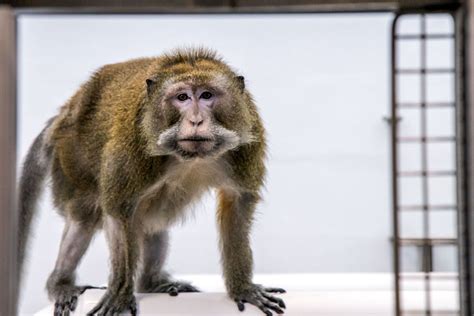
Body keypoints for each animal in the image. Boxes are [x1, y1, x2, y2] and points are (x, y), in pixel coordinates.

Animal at [17, 47, 286, 316]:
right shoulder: (133, 140)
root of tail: (66, 110)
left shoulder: (248, 141)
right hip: (70, 156)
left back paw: (151, 283)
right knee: (84, 217)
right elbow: (118, 210)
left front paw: (242, 288)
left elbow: (237, 205)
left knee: (154, 221)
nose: (196, 120)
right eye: (182, 97)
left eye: (207, 95)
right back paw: (60, 284)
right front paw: (119, 294)